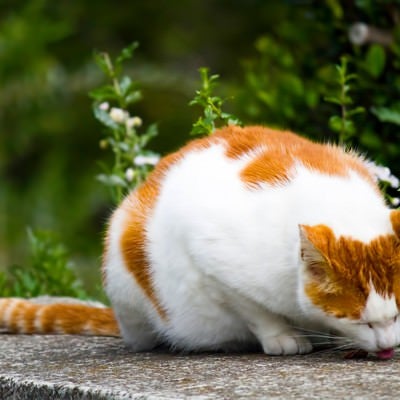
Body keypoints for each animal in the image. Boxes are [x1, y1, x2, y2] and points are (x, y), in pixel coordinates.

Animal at [2, 126, 400, 360]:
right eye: (362, 322)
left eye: (396, 315)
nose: (388, 347)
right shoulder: (212, 262)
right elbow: (255, 310)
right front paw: (282, 337)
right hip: (125, 260)